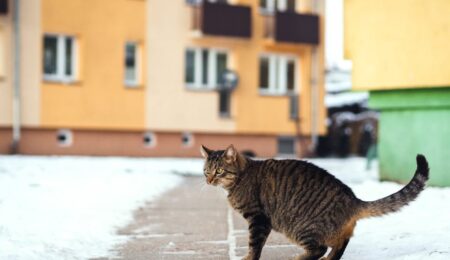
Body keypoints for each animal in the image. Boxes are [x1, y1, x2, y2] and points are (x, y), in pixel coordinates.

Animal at [200, 144, 428, 260]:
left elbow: (254, 245)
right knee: (339, 244)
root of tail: (353, 199)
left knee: (320, 249)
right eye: (206, 171)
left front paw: (248, 258)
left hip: (300, 226)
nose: (209, 180)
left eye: (219, 171)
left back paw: (299, 259)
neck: (240, 177)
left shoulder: (258, 219)